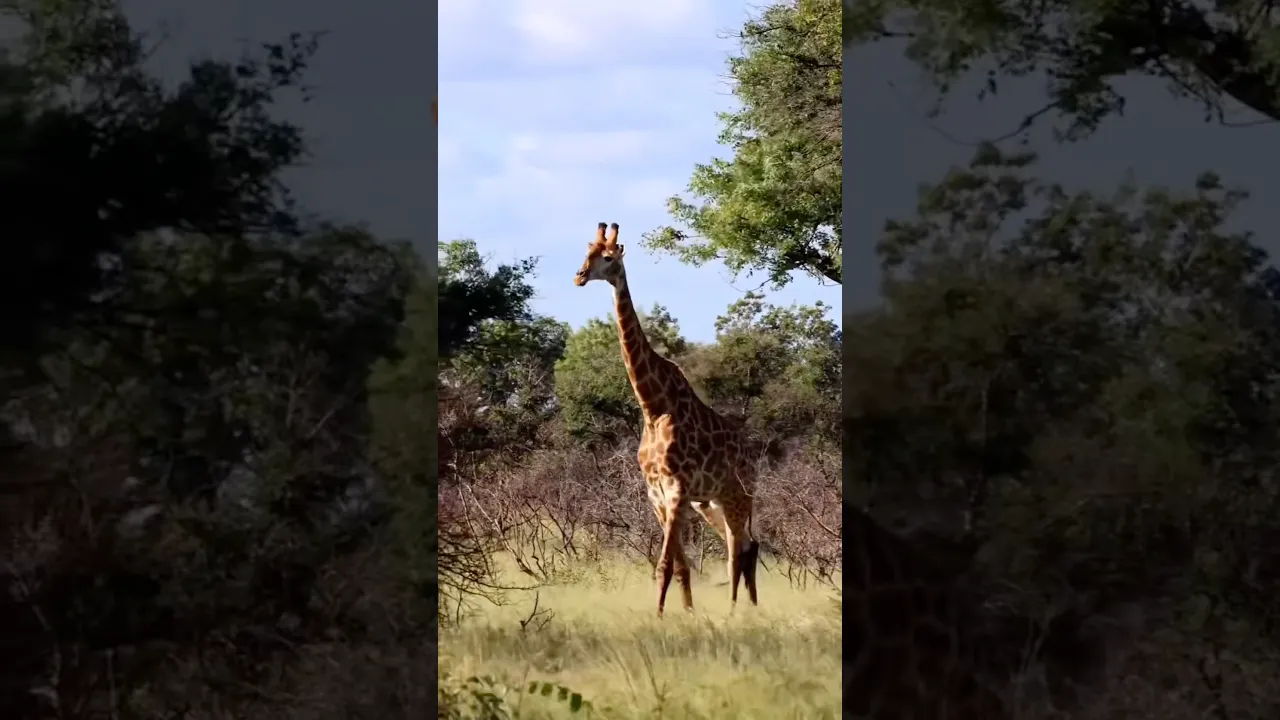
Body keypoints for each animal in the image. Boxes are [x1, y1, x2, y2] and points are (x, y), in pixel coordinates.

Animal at [574, 222, 760, 617]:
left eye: (608, 258)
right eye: (586, 253)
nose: (579, 276)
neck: (653, 406)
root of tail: (753, 458)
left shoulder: (676, 491)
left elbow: (663, 564)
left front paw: (659, 618)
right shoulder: (657, 496)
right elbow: (679, 565)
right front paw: (686, 614)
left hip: (737, 496)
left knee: (738, 552)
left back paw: (735, 611)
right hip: (710, 505)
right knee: (747, 546)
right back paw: (751, 607)